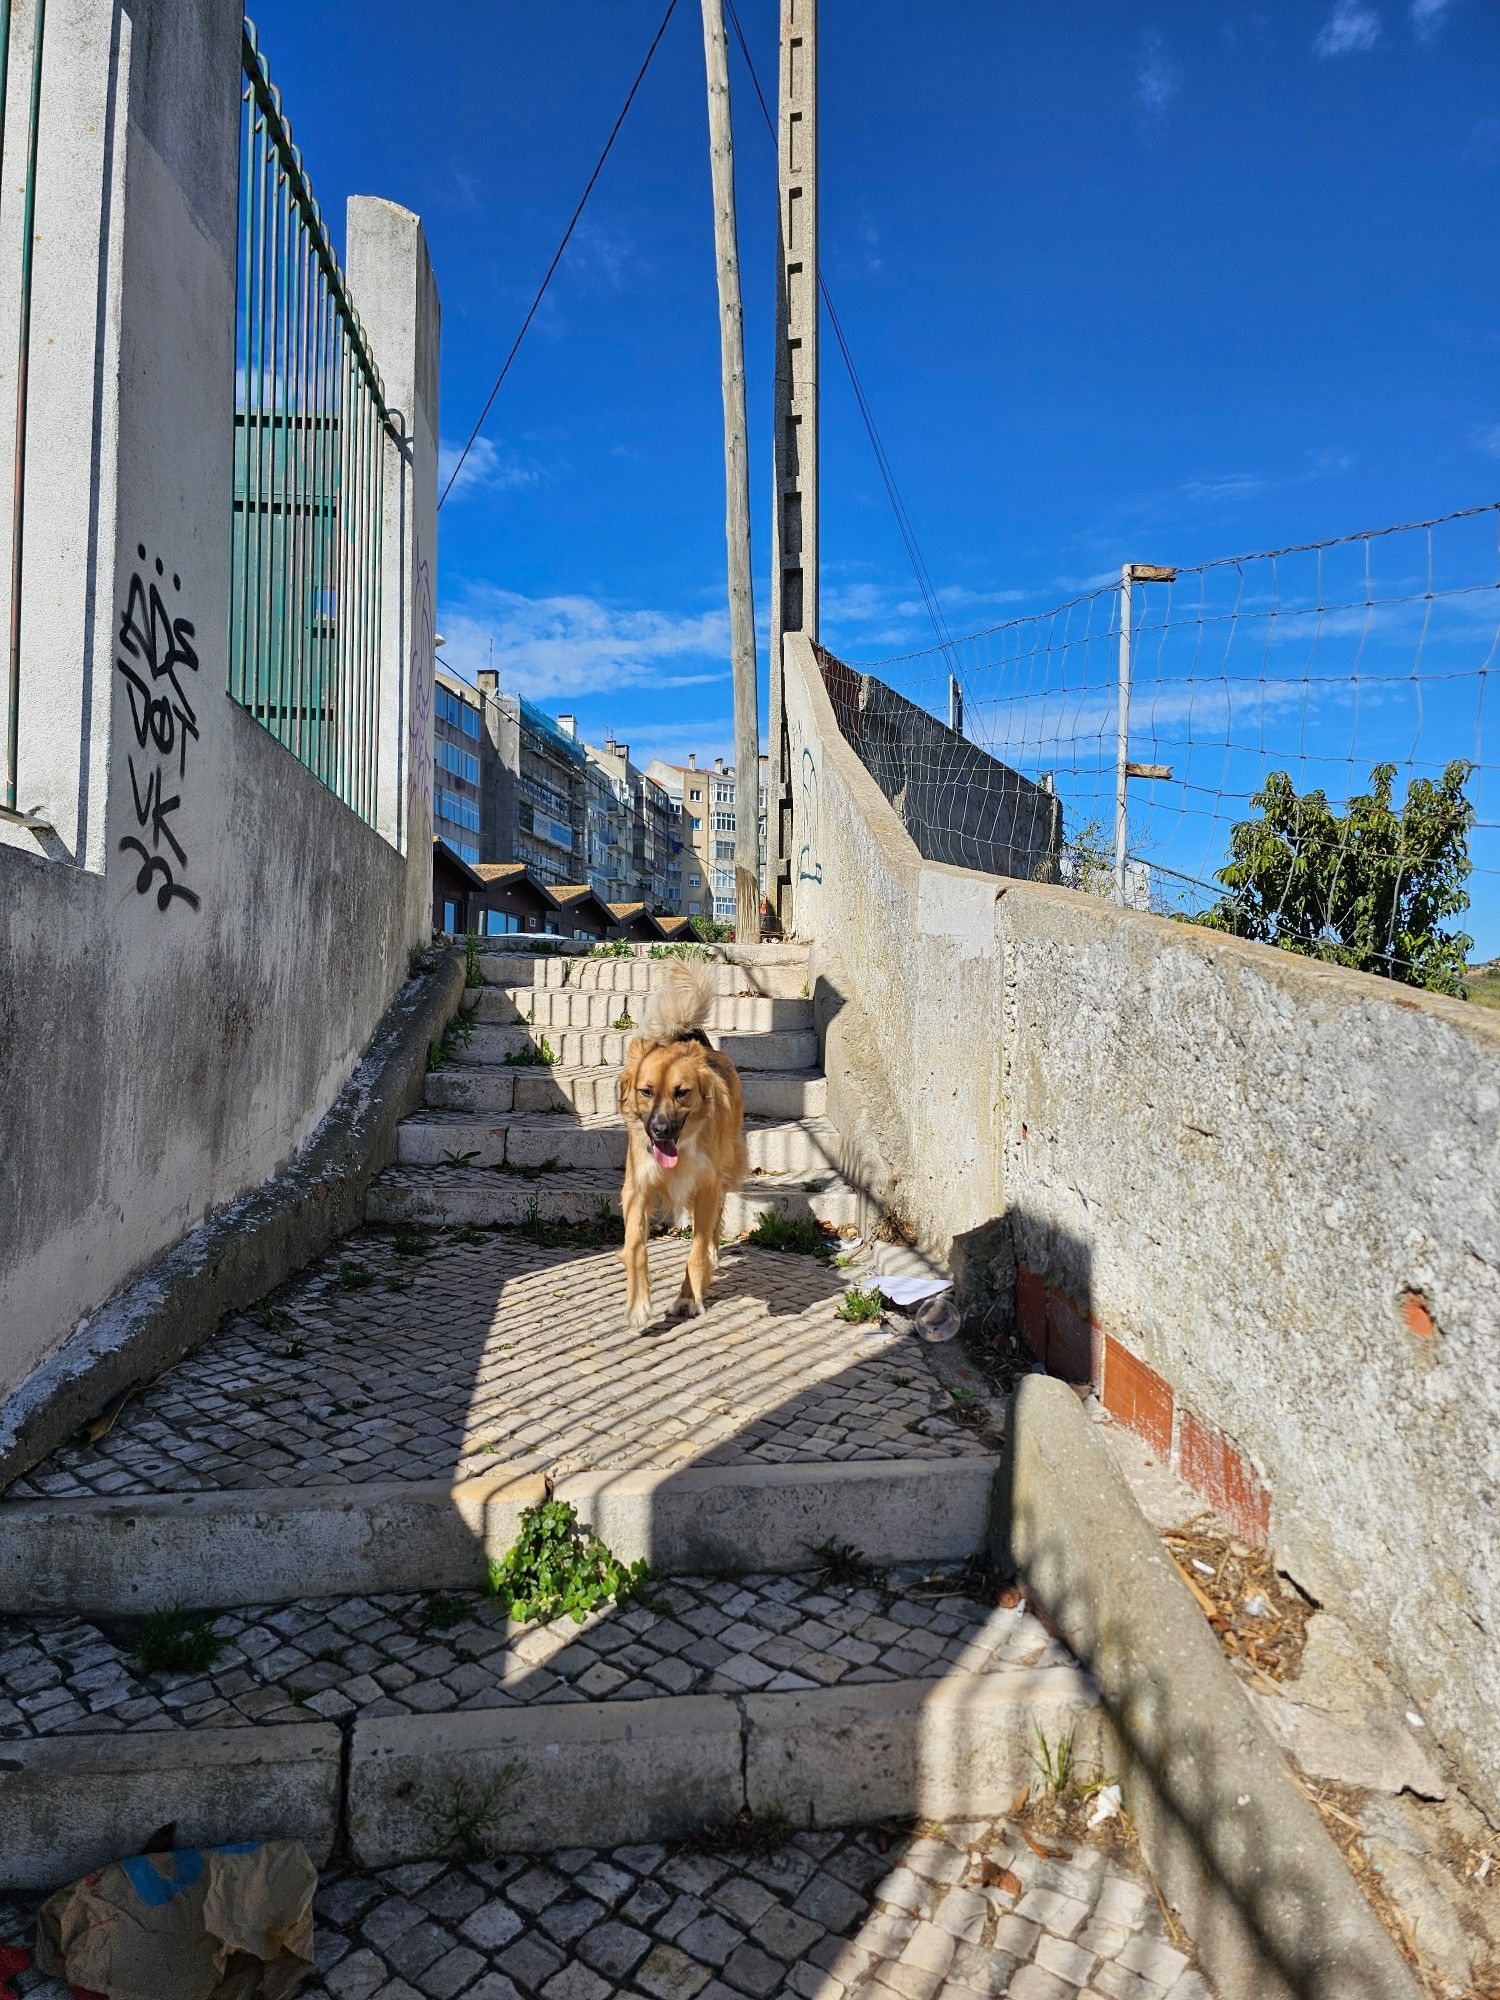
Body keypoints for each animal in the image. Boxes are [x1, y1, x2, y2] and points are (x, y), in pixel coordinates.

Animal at [616, 964, 748, 1336]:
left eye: (681, 1092)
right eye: (646, 1091)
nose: (660, 1130)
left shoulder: (705, 1187)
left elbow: (697, 1250)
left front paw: (689, 1297)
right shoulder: (637, 1188)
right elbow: (635, 1246)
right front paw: (638, 1305)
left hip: (727, 1167)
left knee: (716, 1219)